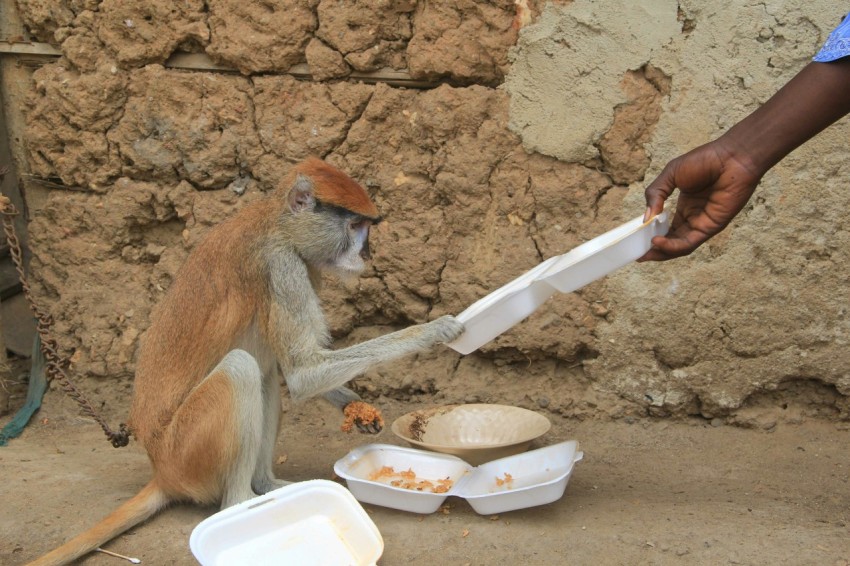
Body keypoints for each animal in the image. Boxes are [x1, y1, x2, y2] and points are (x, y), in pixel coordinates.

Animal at [28, 157, 464, 566]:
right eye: (356, 225)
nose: (368, 252)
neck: (279, 223)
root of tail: (161, 471)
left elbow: (294, 371)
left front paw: (354, 406)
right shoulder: (282, 266)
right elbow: (303, 372)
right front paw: (434, 330)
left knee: (265, 375)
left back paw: (268, 487)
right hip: (186, 451)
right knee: (242, 369)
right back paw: (242, 503)